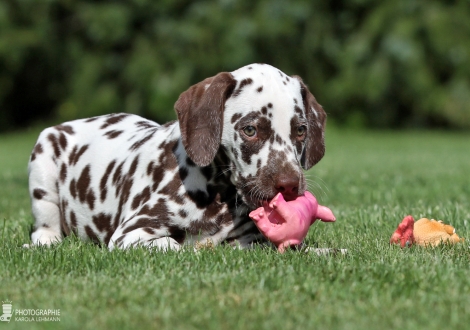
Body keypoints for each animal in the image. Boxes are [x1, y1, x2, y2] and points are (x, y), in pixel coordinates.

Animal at [25, 63, 326, 250]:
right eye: (250, 129)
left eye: (301, 130)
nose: (289, 186)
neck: (218, 196)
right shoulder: (130, 235)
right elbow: (175, 245)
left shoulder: (250, 242)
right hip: (43, 163)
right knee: (44, 225)